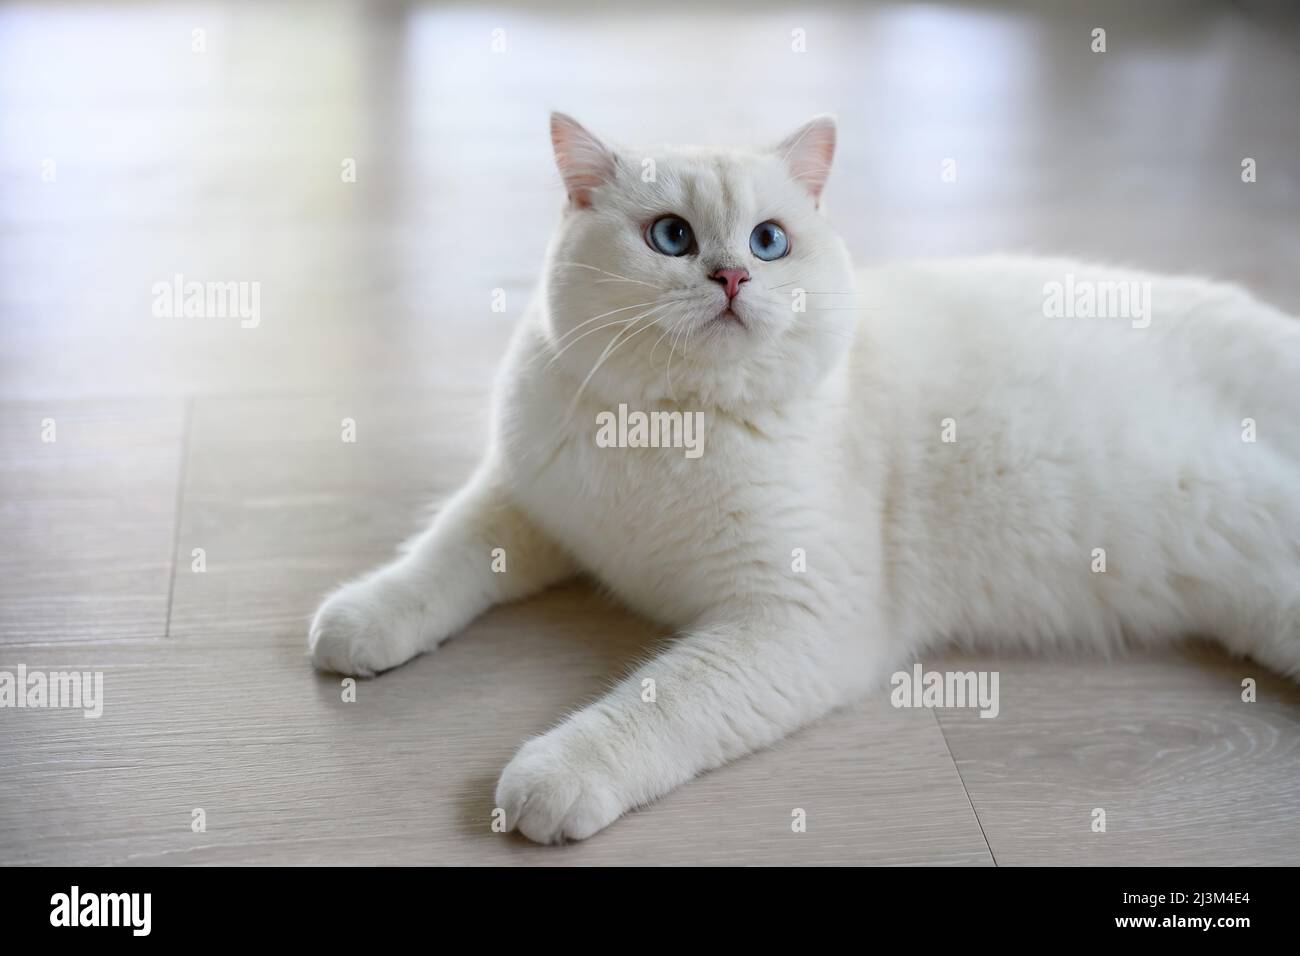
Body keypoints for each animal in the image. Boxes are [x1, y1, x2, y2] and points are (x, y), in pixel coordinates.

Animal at [309, 113, 1300, 842]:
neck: (669, 428)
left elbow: (657, 703)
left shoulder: (795, 618)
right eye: (671, 237)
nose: (734, 275)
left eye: (768, 240)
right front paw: (359, 625)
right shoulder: (523, 504)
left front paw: (552, 779)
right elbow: (436, 560)